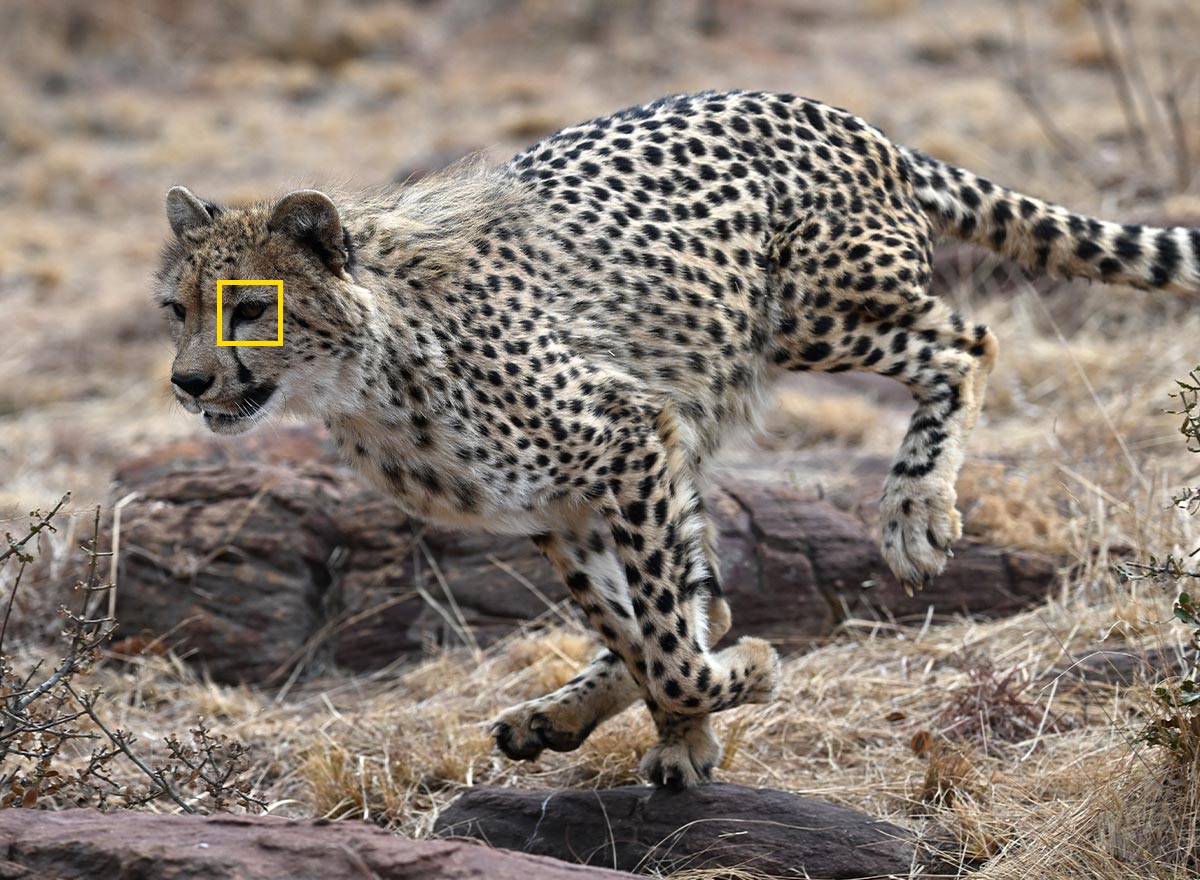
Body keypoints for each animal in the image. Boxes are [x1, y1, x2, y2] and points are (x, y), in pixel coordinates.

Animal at [162, 91, 1200, 787]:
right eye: (177, 310)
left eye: (252, 308)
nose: (189, 382)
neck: (363, 375)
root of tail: (840, 115)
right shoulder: (564, 506)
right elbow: (635, 630)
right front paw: (684, 727)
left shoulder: (621, 440)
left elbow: (665, 640)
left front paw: (736, 680)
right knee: (697, 588)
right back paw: (558, 717)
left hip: (811, 310)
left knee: (966, 342)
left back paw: (914, 511)